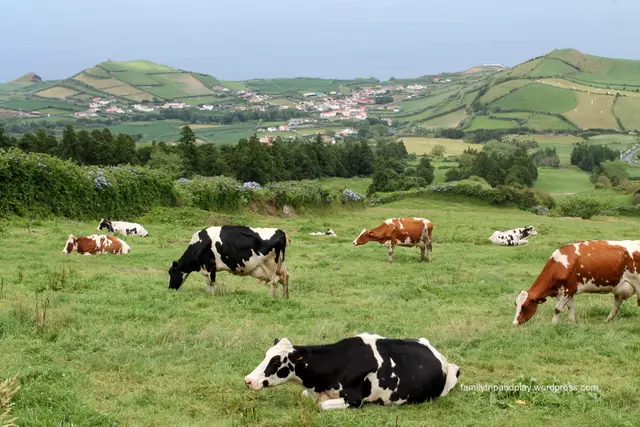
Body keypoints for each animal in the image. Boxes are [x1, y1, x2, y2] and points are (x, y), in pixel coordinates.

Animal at [512, 239, 640, 326]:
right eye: (516, 304)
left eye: (525, 306)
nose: (514, 323)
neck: (560, 263)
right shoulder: (567, 290)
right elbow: (570, 307)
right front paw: (571, 322)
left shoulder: (569, 289)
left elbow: (557, 309)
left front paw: (553, 324)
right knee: (617, 304)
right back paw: (607, 320)